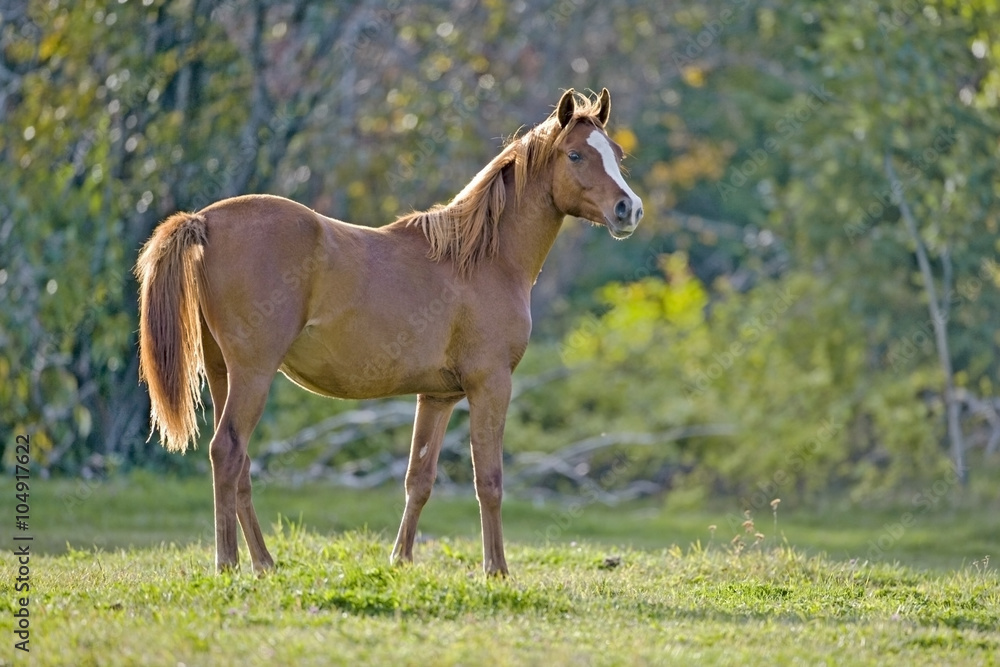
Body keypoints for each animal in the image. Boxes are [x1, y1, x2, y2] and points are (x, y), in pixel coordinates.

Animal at [135, 87, 643, 576]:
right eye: (575, 154)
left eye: (616, 152)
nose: (629, 209)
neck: (482, 257)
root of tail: (206, 219)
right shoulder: (491, 385)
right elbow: (490, 481)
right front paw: (496, 570)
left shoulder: (437, 397)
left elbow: (419, 479)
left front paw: (401, 560)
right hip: (253, 375)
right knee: (226, 452)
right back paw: (228, 564)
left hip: (224, 374)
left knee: (238, 465)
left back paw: (262, 563)